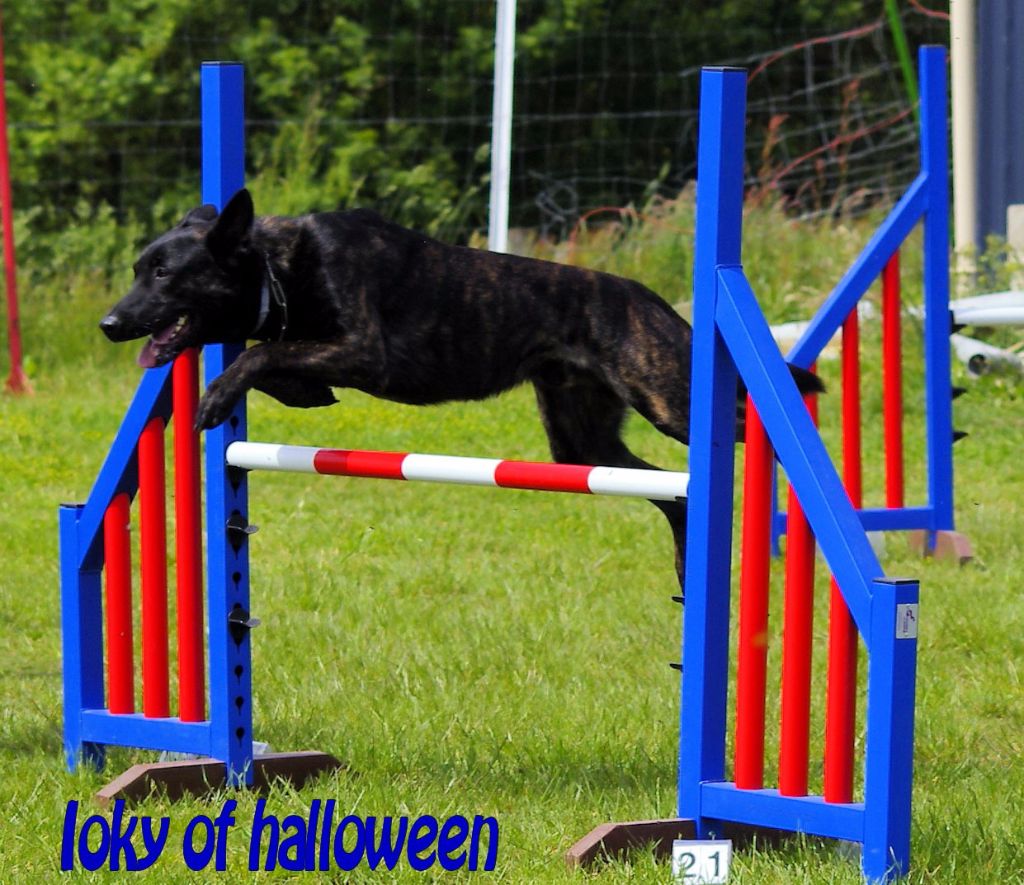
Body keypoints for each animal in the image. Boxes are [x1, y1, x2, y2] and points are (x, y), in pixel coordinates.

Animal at [100, 188, 822, 588]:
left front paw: (218, 395)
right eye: (137, 269)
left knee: (747, 422)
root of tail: (655, 301)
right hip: (581, 445)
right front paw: (297, 391)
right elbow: (274, 356)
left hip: (668, 397)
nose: (108, 324)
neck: (282, 267)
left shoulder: (366, 350)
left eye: (164, 274)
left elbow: (261, 353)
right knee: (672, 494)